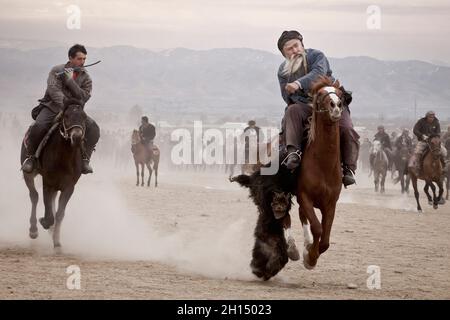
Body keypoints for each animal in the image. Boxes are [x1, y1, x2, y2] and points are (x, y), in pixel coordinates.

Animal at [20, 100, 89, 250]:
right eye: (66, 116)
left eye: (84, 117)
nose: (76, 137)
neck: (63, 157)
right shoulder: (48, 183)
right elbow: (49, 213)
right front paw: (44, 222)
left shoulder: (69, 187)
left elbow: (59, 214)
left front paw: (57, 241)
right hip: (29, 173)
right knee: (34, 196)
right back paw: (33, 229)